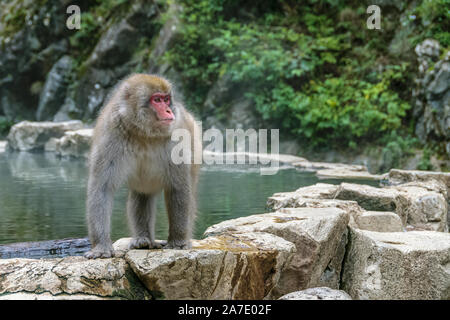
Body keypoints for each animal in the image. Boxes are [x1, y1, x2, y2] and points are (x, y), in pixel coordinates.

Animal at [84, 74, 200, 258]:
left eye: (166, 100)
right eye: (157, 100)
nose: (169, 111)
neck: (144, 132)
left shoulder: (176, 138)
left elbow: (178, 187)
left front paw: (178, 242)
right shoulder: (110, 135)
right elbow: (102, 188)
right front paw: (101, 247)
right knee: (141, 194)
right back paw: (143, 239)